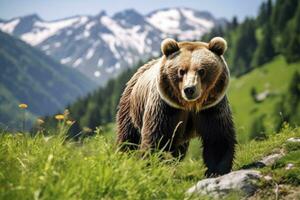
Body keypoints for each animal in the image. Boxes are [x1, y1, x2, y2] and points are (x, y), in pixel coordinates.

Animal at [116, 36, 236, 176]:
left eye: (201, 70)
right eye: (181, 71)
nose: (189, 89)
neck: (189, 105)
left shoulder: (211, 107)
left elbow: (217, 137)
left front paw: (217, 170)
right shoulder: (165, 108)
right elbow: (157, 138)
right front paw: (154, 167)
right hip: (131, 107)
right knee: (128, 137)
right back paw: (124, 159)